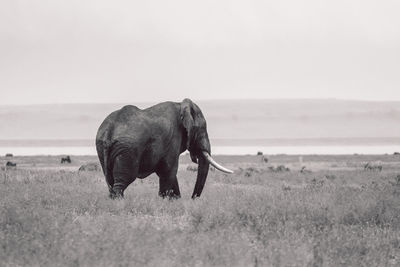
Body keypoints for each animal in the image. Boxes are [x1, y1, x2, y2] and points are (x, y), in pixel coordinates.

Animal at [95, 98, 233, 199]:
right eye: (202, 129)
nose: (193, 198)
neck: (181, 105)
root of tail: (108, 132)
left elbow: (170, 173)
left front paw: (175, 200)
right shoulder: (173, 138)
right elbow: (169, 170)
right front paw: (165, 201)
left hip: (102, 148)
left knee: (111, 181)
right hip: (127, 149)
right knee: (123, 180)